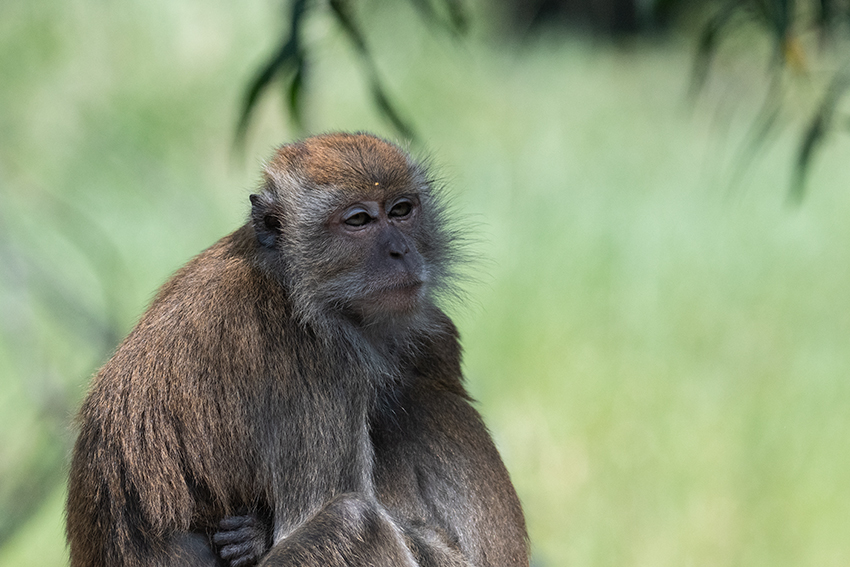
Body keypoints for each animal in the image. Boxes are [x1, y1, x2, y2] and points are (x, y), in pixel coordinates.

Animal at [66, 132, 528, 567]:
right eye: (358, 220)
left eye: (401, 210)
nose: (402, 250)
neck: (287, 281)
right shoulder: (316, 363)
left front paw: (253, 535)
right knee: (355, 521)